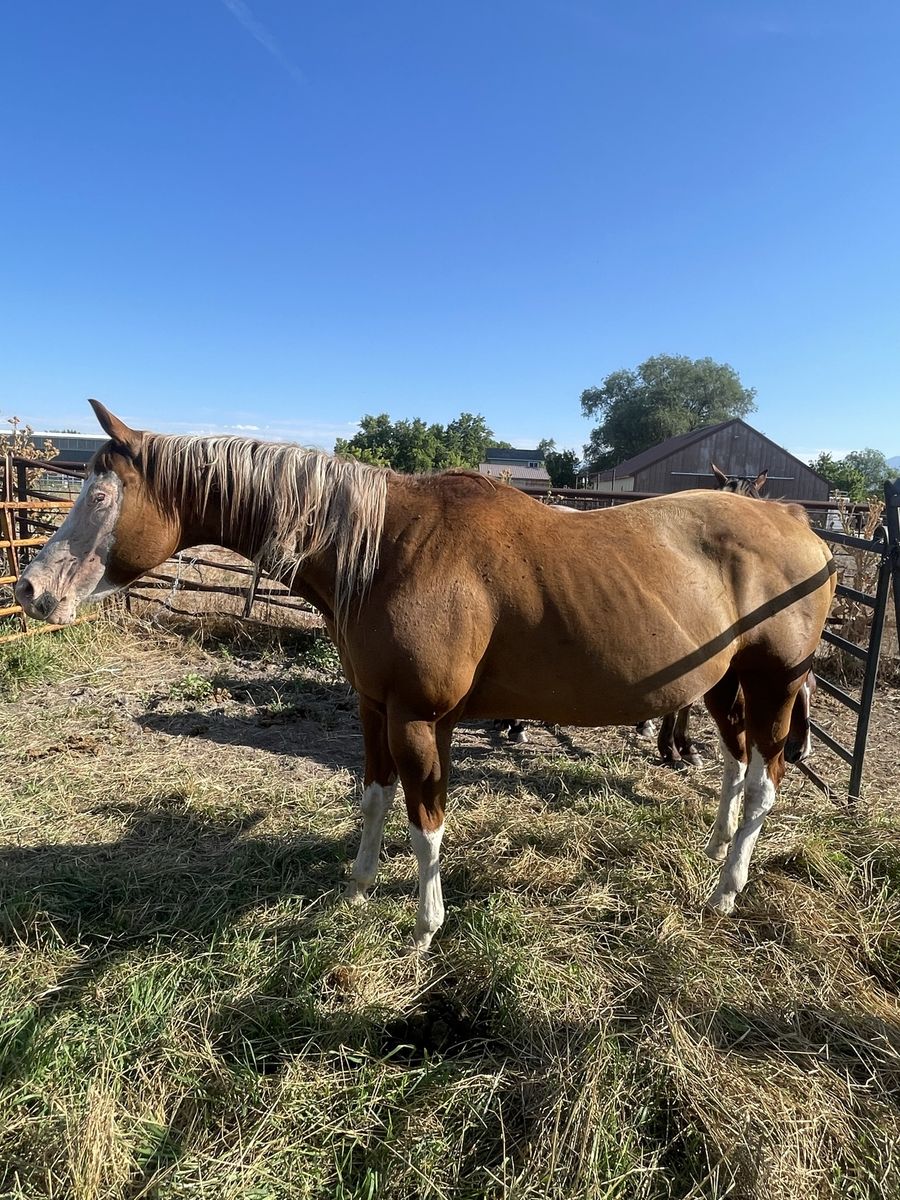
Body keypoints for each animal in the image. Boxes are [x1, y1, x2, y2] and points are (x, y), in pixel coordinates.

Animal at [16, 403, 836, 949]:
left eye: (100, 496)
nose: (31, 589)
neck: (386, 546)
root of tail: (801, 524)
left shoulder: (417, 717)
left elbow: (425, 821)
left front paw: (424, 926)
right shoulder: (374, 707)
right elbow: (377, 799)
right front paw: (357, 888)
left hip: (774, 684)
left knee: (765, 781)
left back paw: (726, 890)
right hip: (724, 683)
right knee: (737, 764)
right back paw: (716, 848)